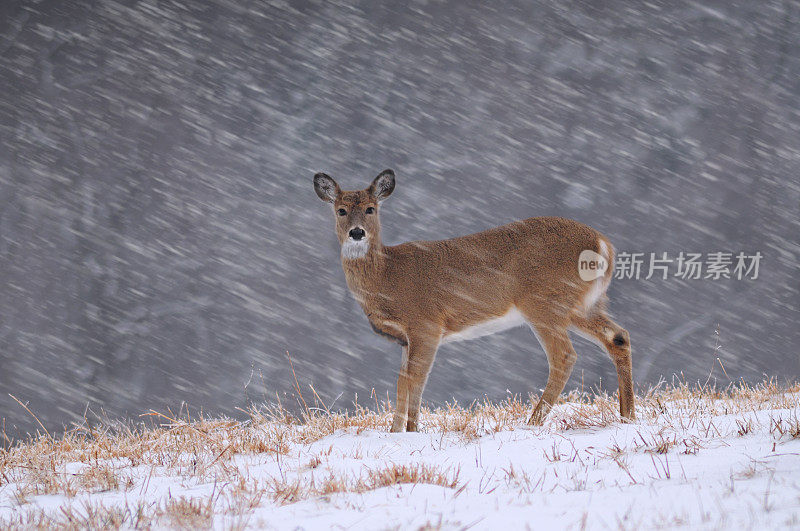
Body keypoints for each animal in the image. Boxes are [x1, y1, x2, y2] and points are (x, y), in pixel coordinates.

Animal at [312, 169, 632, 432]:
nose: (356, 233)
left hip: (544, 302)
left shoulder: (426, 324)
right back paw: (627, 415)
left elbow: (413, 379)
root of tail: (603, 244)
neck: (387, 277)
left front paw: (410, 431)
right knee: (618, 337)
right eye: (341, 210)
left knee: (564, 356)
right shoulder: (406, 338)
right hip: (582, 304)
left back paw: (532, 423)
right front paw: (397, 432)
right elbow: (404, 381)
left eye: (370, 208)